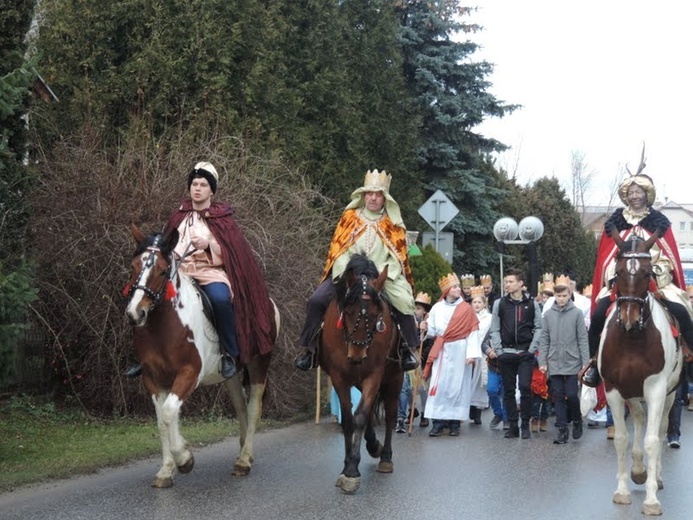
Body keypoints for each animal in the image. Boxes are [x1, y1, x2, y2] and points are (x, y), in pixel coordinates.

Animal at [124, 223, 278, 488]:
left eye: (162, 271)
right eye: (134, 266)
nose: (135, 313)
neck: (165, 327)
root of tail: (268, 303)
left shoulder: (189, 373)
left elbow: (169, 412)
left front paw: (184, 459)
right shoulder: (153, 379)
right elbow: (162, 419)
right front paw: (166, 470)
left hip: (259, 365)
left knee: (253, 408)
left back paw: (244, 460)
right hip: (231, 374)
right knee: (240, 406)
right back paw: (242, 454)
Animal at [320, 254, 406, 494]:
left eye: (378, 314)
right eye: (348, 311)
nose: (357, 356)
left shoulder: (374, 375)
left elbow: (359, 417)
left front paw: (352, 470)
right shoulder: (339, 377)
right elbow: (349, 420)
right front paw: (346, 465)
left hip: (395, 379)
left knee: (390, 414)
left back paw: (385, 456)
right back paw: (373, 445)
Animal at [596, 232, 684, 516]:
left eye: (647, 272)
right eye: (619, 271)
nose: (629, 320)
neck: (631, 340)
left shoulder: (656, 389)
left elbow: (653, 441)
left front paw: (651, 500)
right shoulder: (613, 389)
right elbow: (622, 439)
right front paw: (623, 490)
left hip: (668, 393)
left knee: (661, 427)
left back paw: (655, 476)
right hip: (632, 392)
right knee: (637, 417)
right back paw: (637, 470)